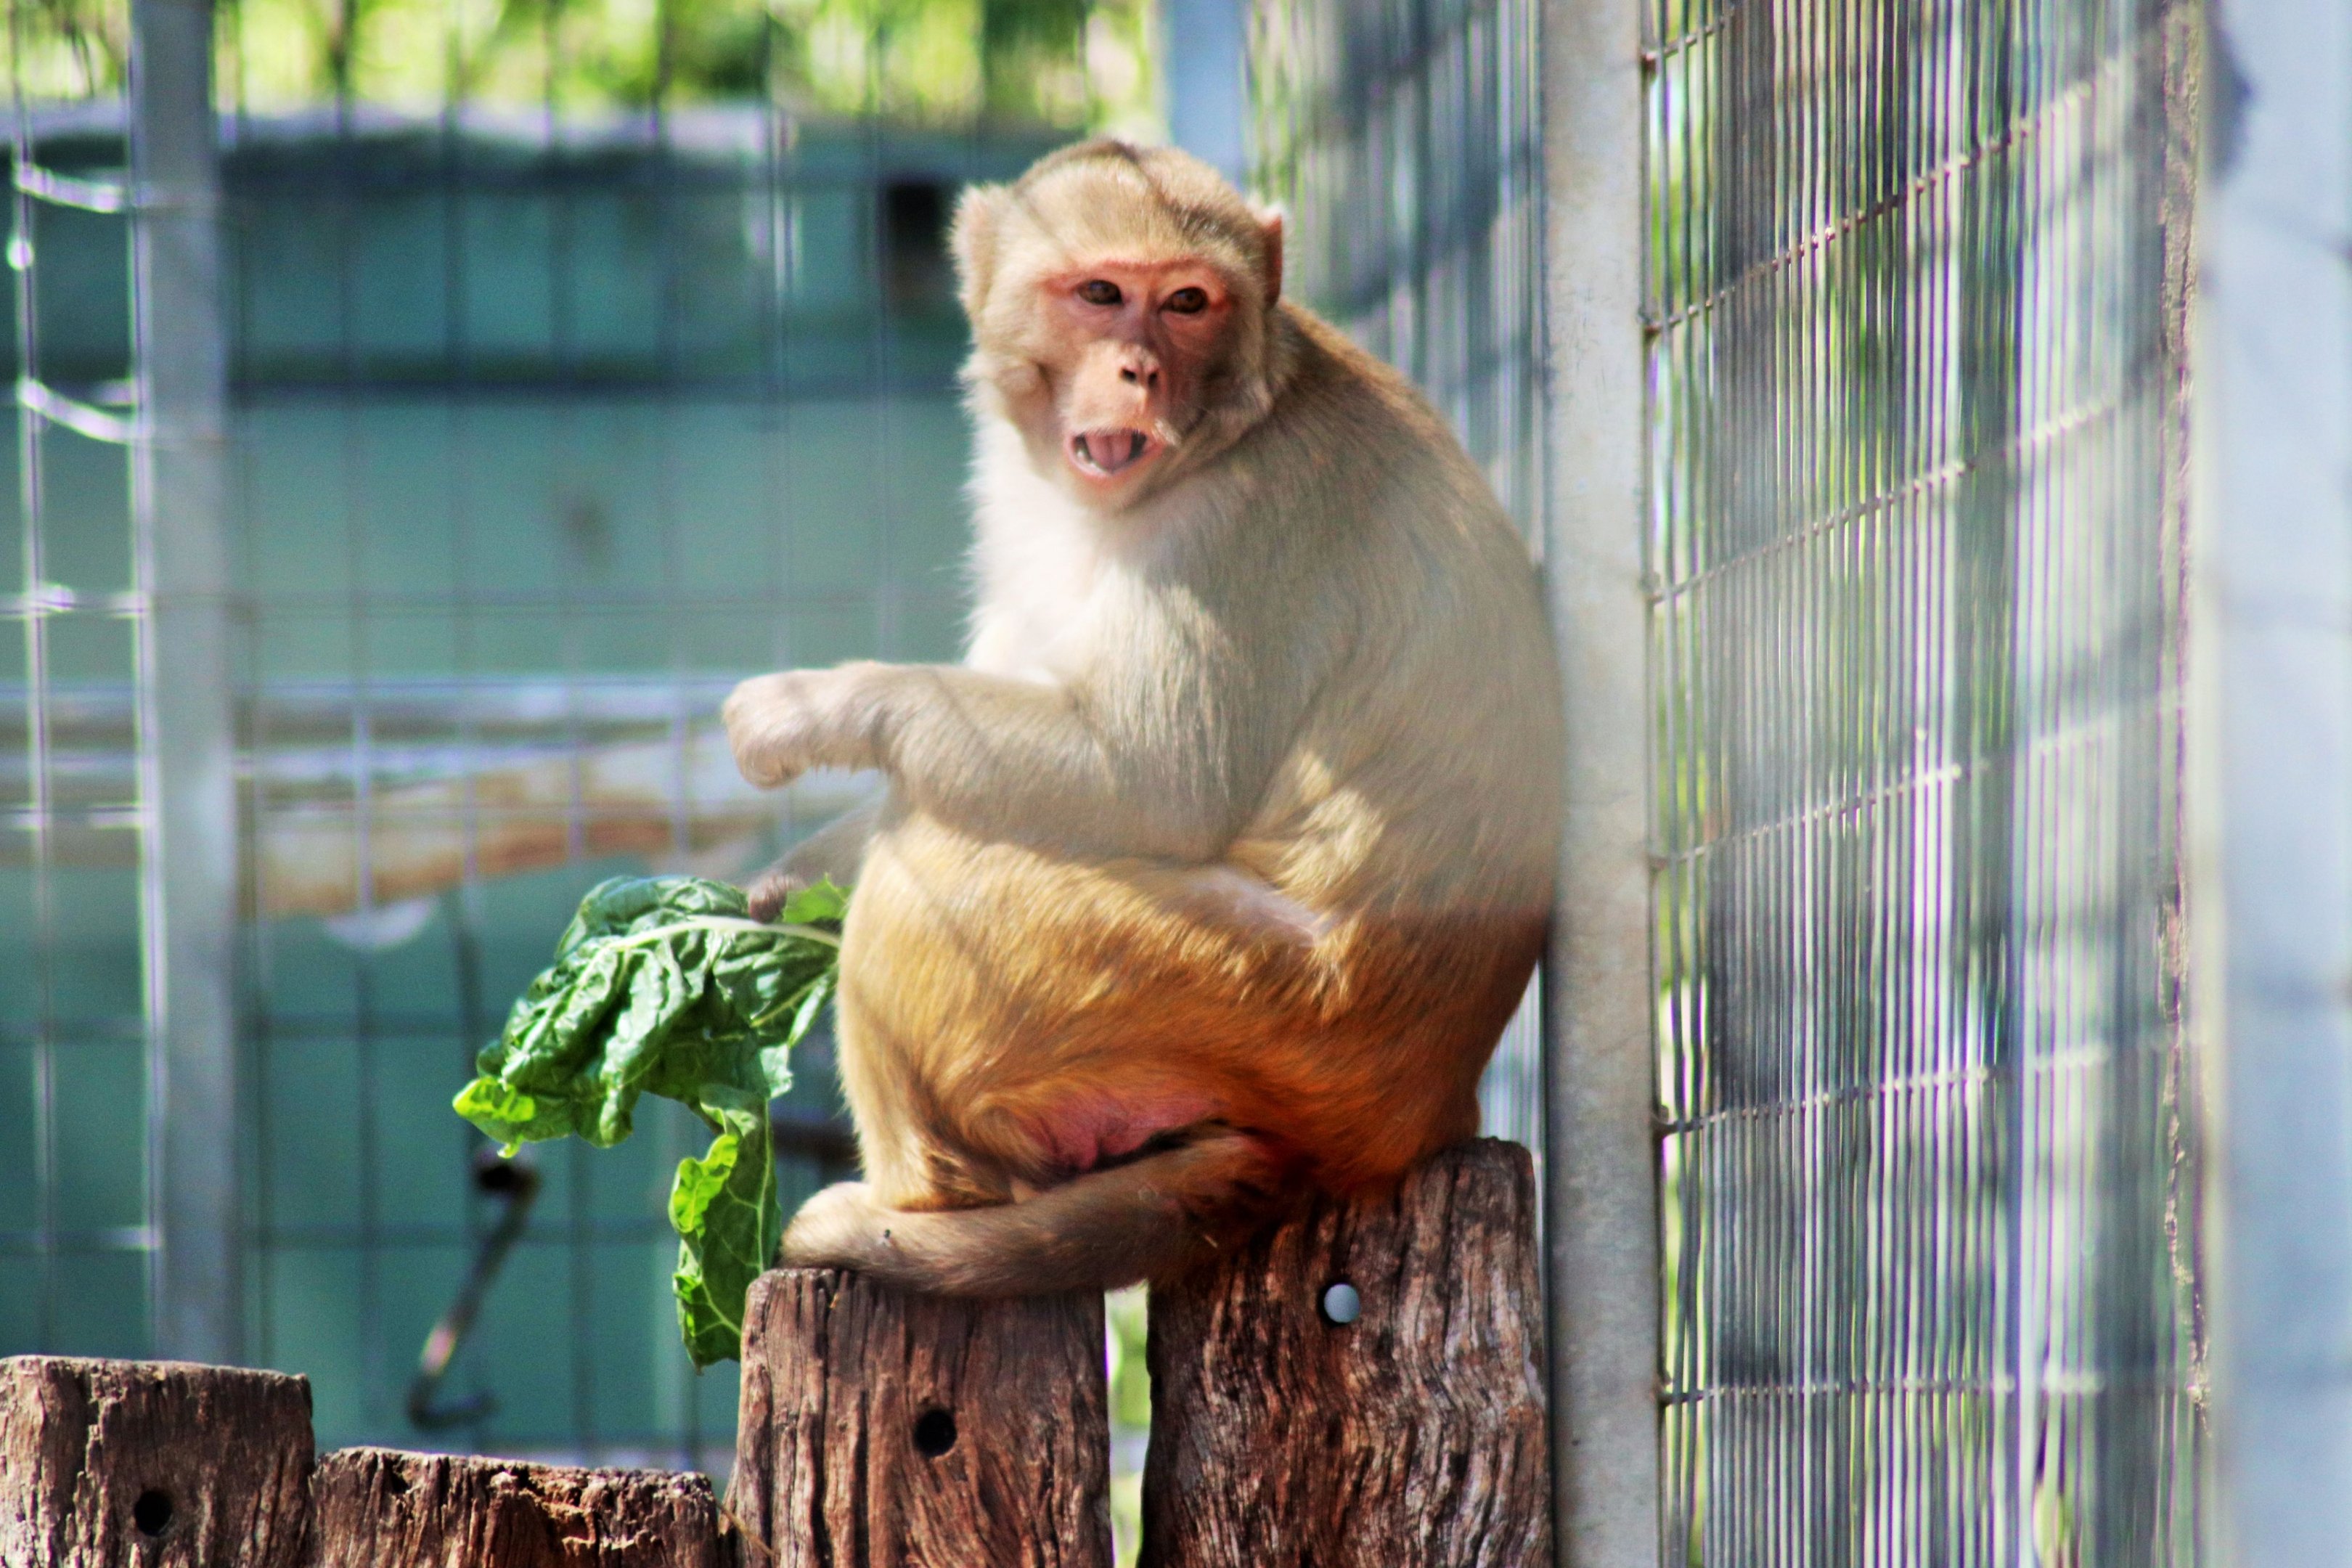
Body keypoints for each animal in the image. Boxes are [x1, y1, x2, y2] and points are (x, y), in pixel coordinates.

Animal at [722, 138, 1564, 1296]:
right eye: (1101, 295)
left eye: (1188, 303)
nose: (1140, 372)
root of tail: (1413, 1117)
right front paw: (802, 870)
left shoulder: (1249, 517)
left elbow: (1158, 783)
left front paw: (812, 708)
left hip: (1255, 1004)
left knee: (937, 857)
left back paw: (922, 1210)